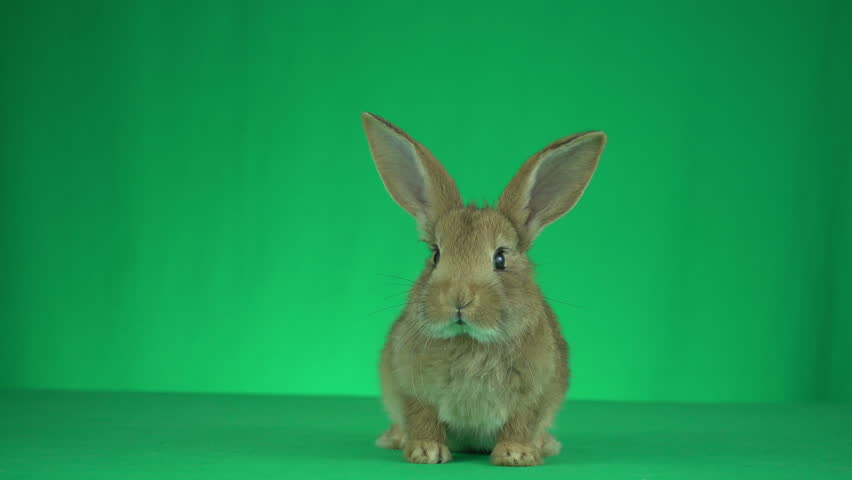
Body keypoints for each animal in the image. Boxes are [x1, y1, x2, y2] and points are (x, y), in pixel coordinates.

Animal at [361, 113, 605, 467]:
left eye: (500, 258)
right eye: (436, 255)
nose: (459, 298)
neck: (471, 341)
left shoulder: (534, 393)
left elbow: (521, 422)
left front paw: (516, 455)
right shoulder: (411, 387)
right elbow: (423, 418)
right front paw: (426, 451)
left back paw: (545, 444)